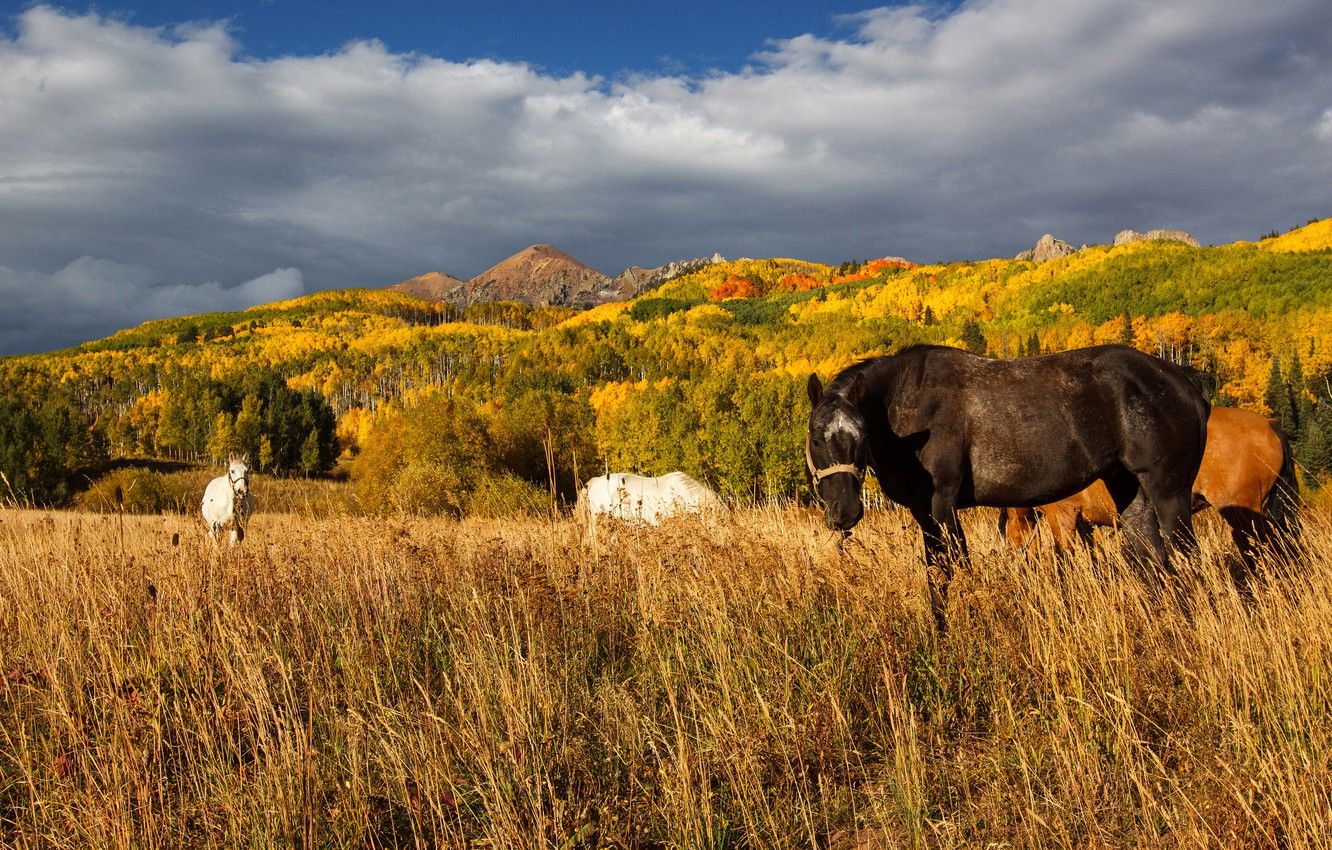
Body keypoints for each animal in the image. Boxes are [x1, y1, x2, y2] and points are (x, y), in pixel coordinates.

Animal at [804, 346, 1214, 634]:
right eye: (816, 436)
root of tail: (1183, 380)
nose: (845, 512)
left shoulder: (942, 505)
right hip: (1131, 492)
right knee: (1151, 561)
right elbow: (935, 575)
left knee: (1184, 558)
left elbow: (954, 568)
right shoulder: (924, 512)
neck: (907, 402)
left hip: (1170, 494)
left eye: (860, 436)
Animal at [1001, 407, 1300, 586]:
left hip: (1243, 512)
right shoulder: (1086, 526)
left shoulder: (1064, 516)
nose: (1018, 565)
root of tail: (1270, 425)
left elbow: (1067, 557)